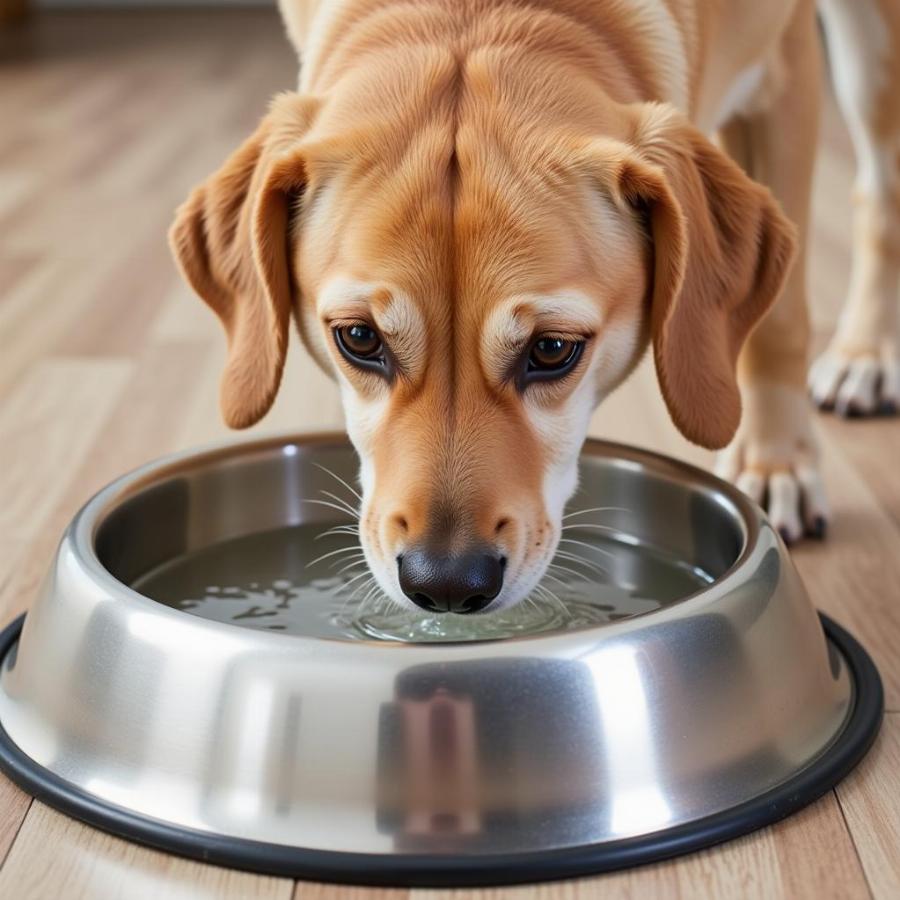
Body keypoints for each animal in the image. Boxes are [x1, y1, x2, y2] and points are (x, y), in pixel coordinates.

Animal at [169, 0, 900, 616]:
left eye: (552, 350)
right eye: (358, 338)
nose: (446, 584)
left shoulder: (784, 72)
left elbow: (780, 321)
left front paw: (775, 463)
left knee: (881, 192)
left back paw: (865, 355)